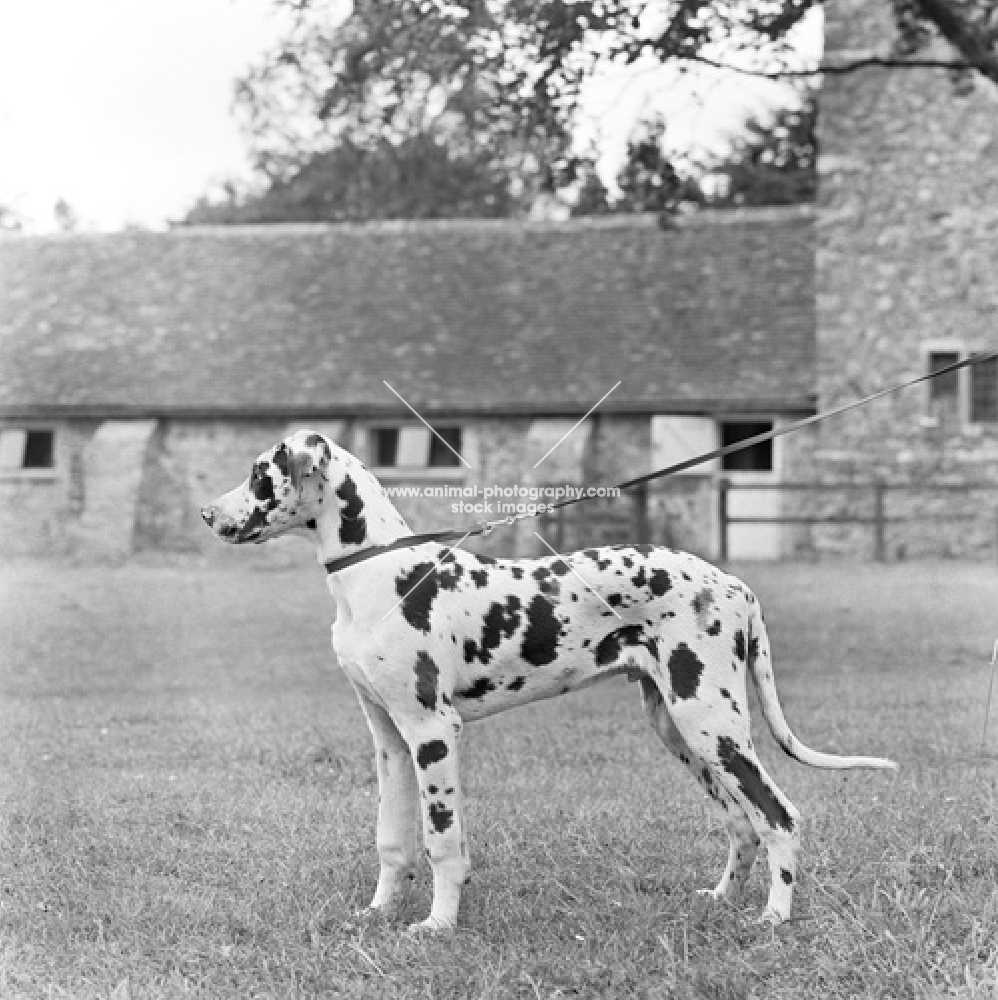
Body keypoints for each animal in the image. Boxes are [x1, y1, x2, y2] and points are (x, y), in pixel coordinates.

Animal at [203, 434, 900, 932]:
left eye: (260, 473)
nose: (206, 513)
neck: (378, 575)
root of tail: (735, 584)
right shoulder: (389, 739)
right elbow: (393, 841)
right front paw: (378, 914)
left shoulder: (433, 733)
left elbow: (442, 842)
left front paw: (437, 926)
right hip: (681, 728)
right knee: (741, 822)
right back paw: (722, 899)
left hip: (712, 723)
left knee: (778, 815)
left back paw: (775, 918)